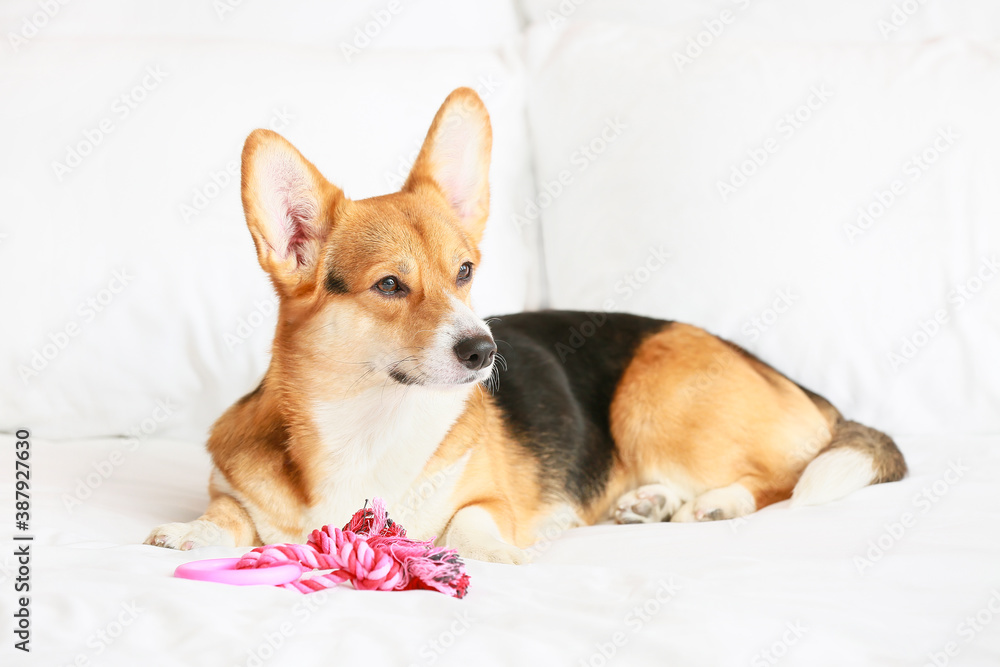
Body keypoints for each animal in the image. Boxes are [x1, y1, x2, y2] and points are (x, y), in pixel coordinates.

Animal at [146, 86, 908, 560]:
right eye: (389, 285)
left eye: (464, 271)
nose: (483, 351)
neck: (370, 424)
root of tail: (805, 390)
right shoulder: (233, 490)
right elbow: (226, 516)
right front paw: (190, 534)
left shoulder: (489, 497)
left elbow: (472, 521)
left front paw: (492, 553)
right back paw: (651, 502)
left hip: (653, 395)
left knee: (783, 476)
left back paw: (716, 503)